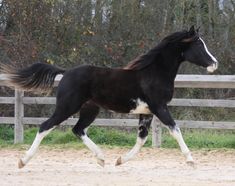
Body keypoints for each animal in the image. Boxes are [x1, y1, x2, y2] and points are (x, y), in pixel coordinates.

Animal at [2, 26, 218, 169]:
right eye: (199, 45)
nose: (214, 63)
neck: (154, 73)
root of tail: (66, 72)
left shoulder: (147, 112)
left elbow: (142, 138)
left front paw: (120, 160)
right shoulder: (160, 107)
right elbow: (175, 130)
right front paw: (191, 160)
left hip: (90, 109)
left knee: (78, 129)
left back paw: (101, 158)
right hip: (67, 106)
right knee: (45, 126)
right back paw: (22, 161)